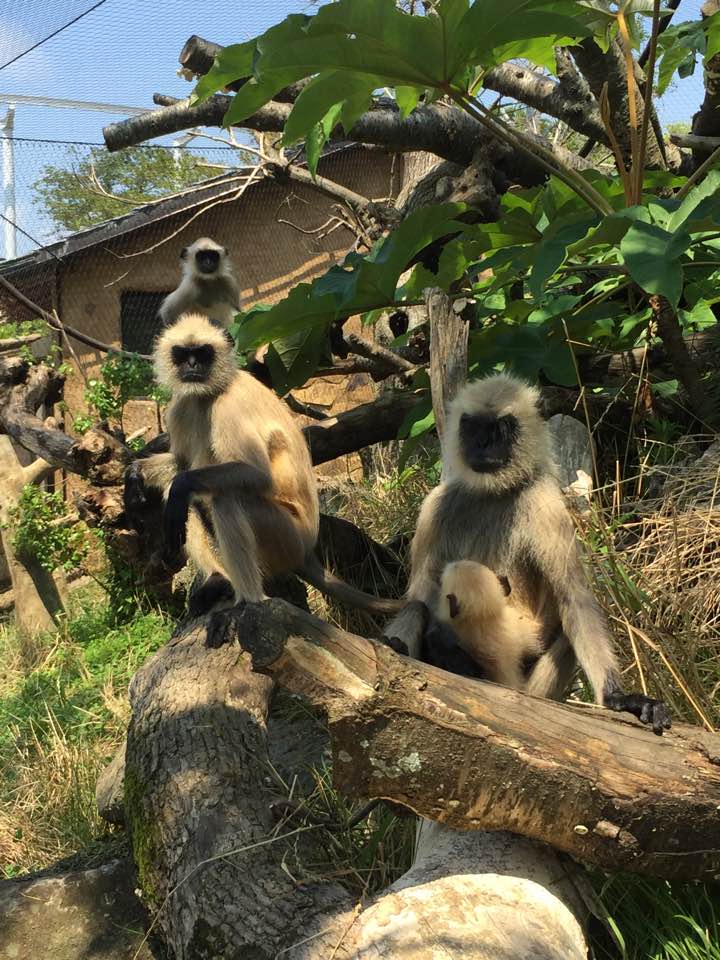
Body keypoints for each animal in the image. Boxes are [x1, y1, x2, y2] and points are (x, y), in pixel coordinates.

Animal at [126, 312, 402, 620]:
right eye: (183, 354)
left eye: (203, 353)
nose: (193, 366)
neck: (213, 391)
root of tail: (307, 550)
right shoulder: (182, 404)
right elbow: (181, 463)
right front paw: (135, 474)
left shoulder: (228, 406)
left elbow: (255, 475)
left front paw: (172, 483)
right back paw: (217, 579)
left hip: (285, 535)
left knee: (224, 498)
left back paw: (251, 599)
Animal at [386, 376, 672, 736]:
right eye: (473, 426)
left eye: (501, 428)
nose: (482, 444)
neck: (493, 492)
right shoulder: (434, 506)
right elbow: (421, 593)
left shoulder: (546, 504)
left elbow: (574, 598)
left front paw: (618, 697)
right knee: (416, 607)